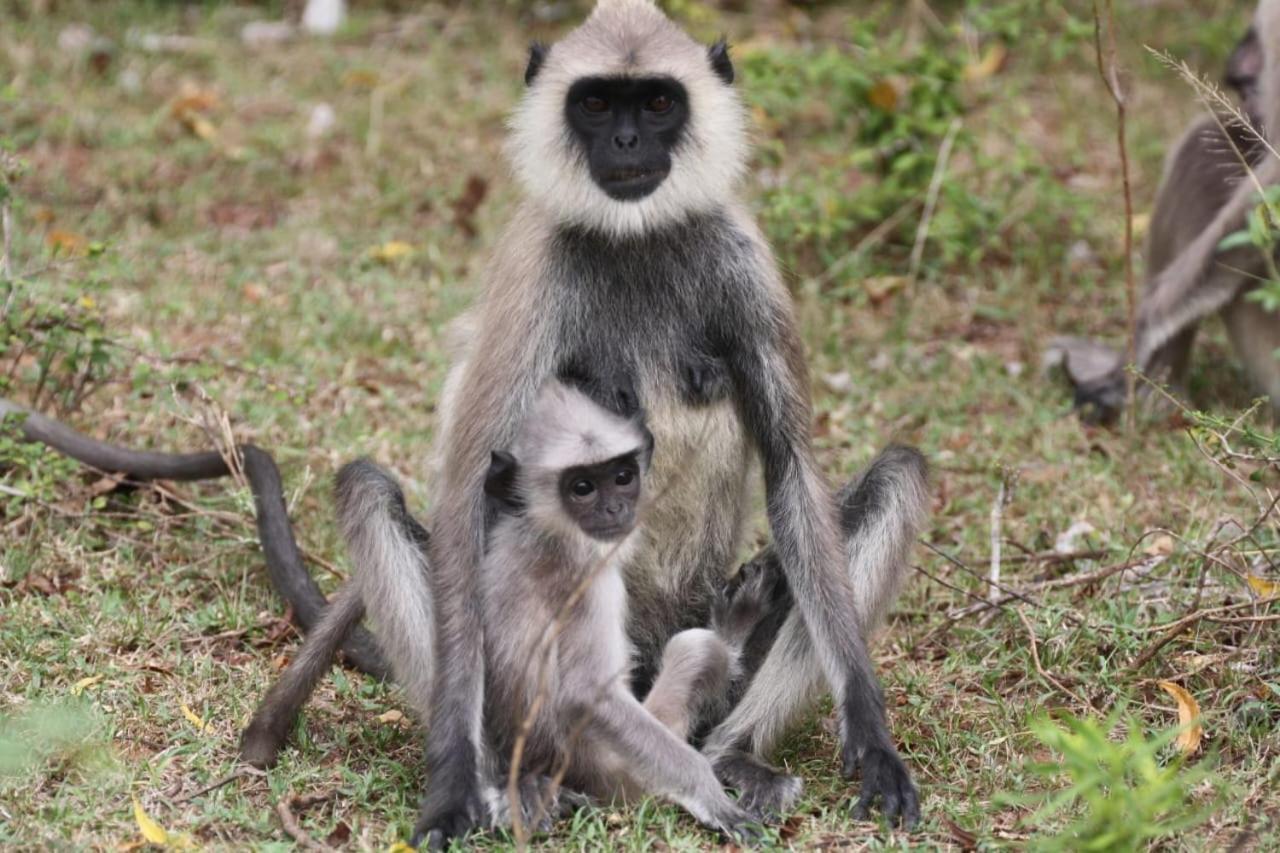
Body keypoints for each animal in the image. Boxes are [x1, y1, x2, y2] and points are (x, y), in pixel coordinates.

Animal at [240, 0, 926, 840]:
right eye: (597, 103)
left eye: (657, 102)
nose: (626, 142)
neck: (637, 233)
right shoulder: (539, 266)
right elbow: (467, 490)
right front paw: (452, 780)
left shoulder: (743, 256)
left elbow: (793, 464)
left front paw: (872, 736)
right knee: (369, 490)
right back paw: (521, 776)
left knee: (896, 476)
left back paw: (733, 750)